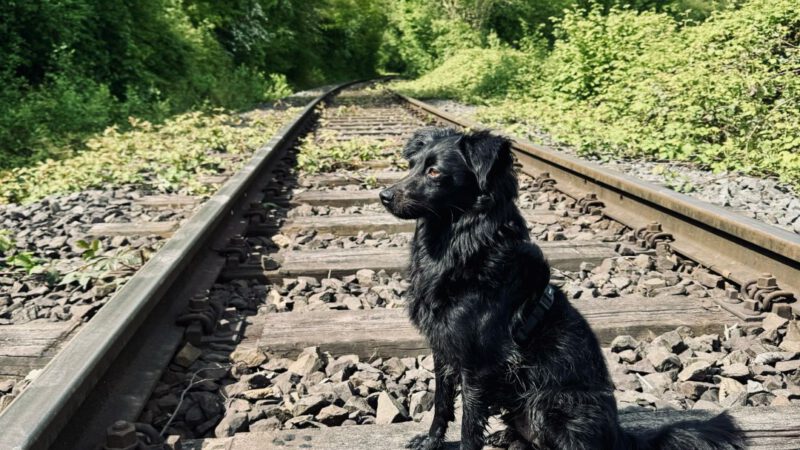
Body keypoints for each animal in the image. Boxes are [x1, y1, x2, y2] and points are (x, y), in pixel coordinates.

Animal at [380, 127, 744, 450]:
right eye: (412, 165)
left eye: (434, 172)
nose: (383, 195)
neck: (457, 246)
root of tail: (620, 436)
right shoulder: (444, 348)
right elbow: (442, 403)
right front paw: (430, 441)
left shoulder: (478, 363)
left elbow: (470, 425)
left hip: (552, 400)